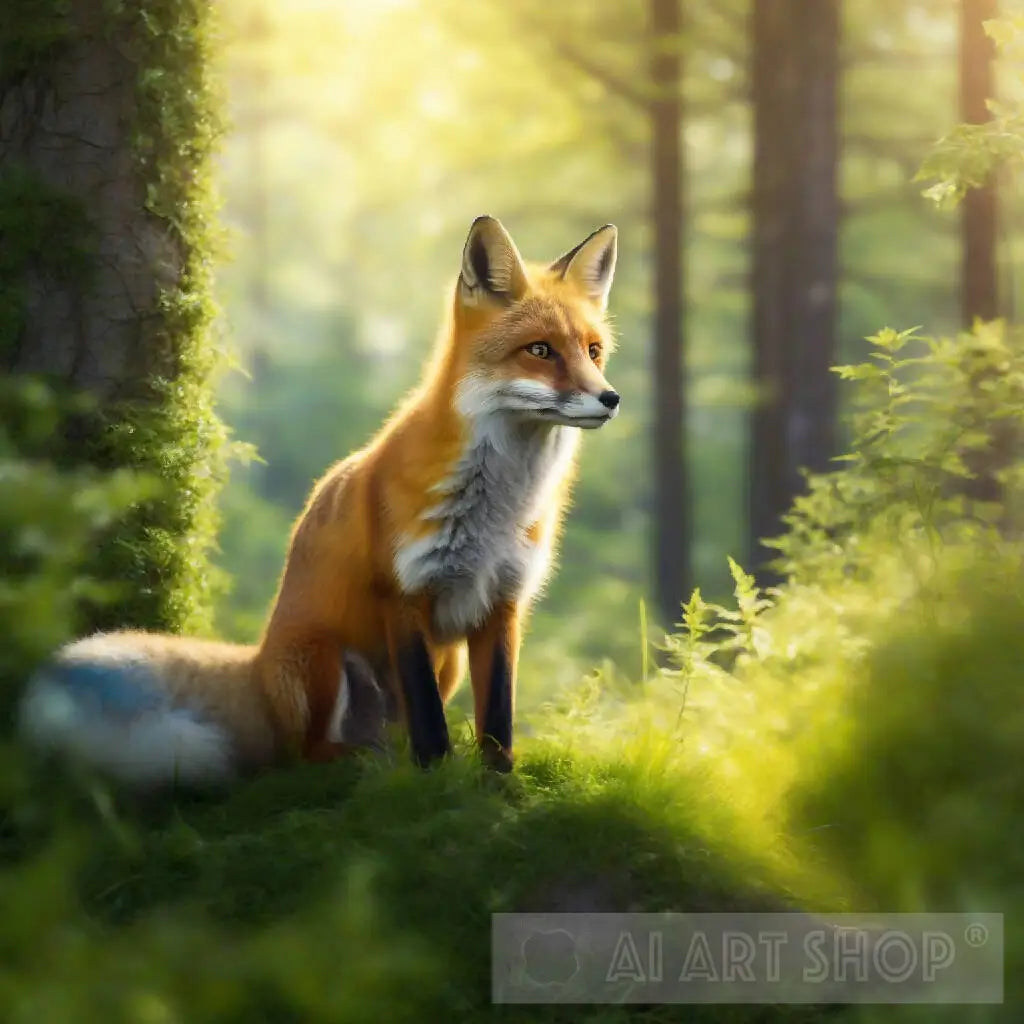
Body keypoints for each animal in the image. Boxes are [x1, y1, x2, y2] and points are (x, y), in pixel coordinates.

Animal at [19, 215, 620, 788]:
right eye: (540, 351)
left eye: (593, 352)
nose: (610, 398)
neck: (499, 506)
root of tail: (258, 663)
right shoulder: (402, 594)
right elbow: (431, 725)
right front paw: (438, 784)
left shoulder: (502, 602)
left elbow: (497, 717)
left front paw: (497, 788)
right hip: (324, 660)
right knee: (305, 755)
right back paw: (360, 764)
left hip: (442, 662)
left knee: (386, 735)